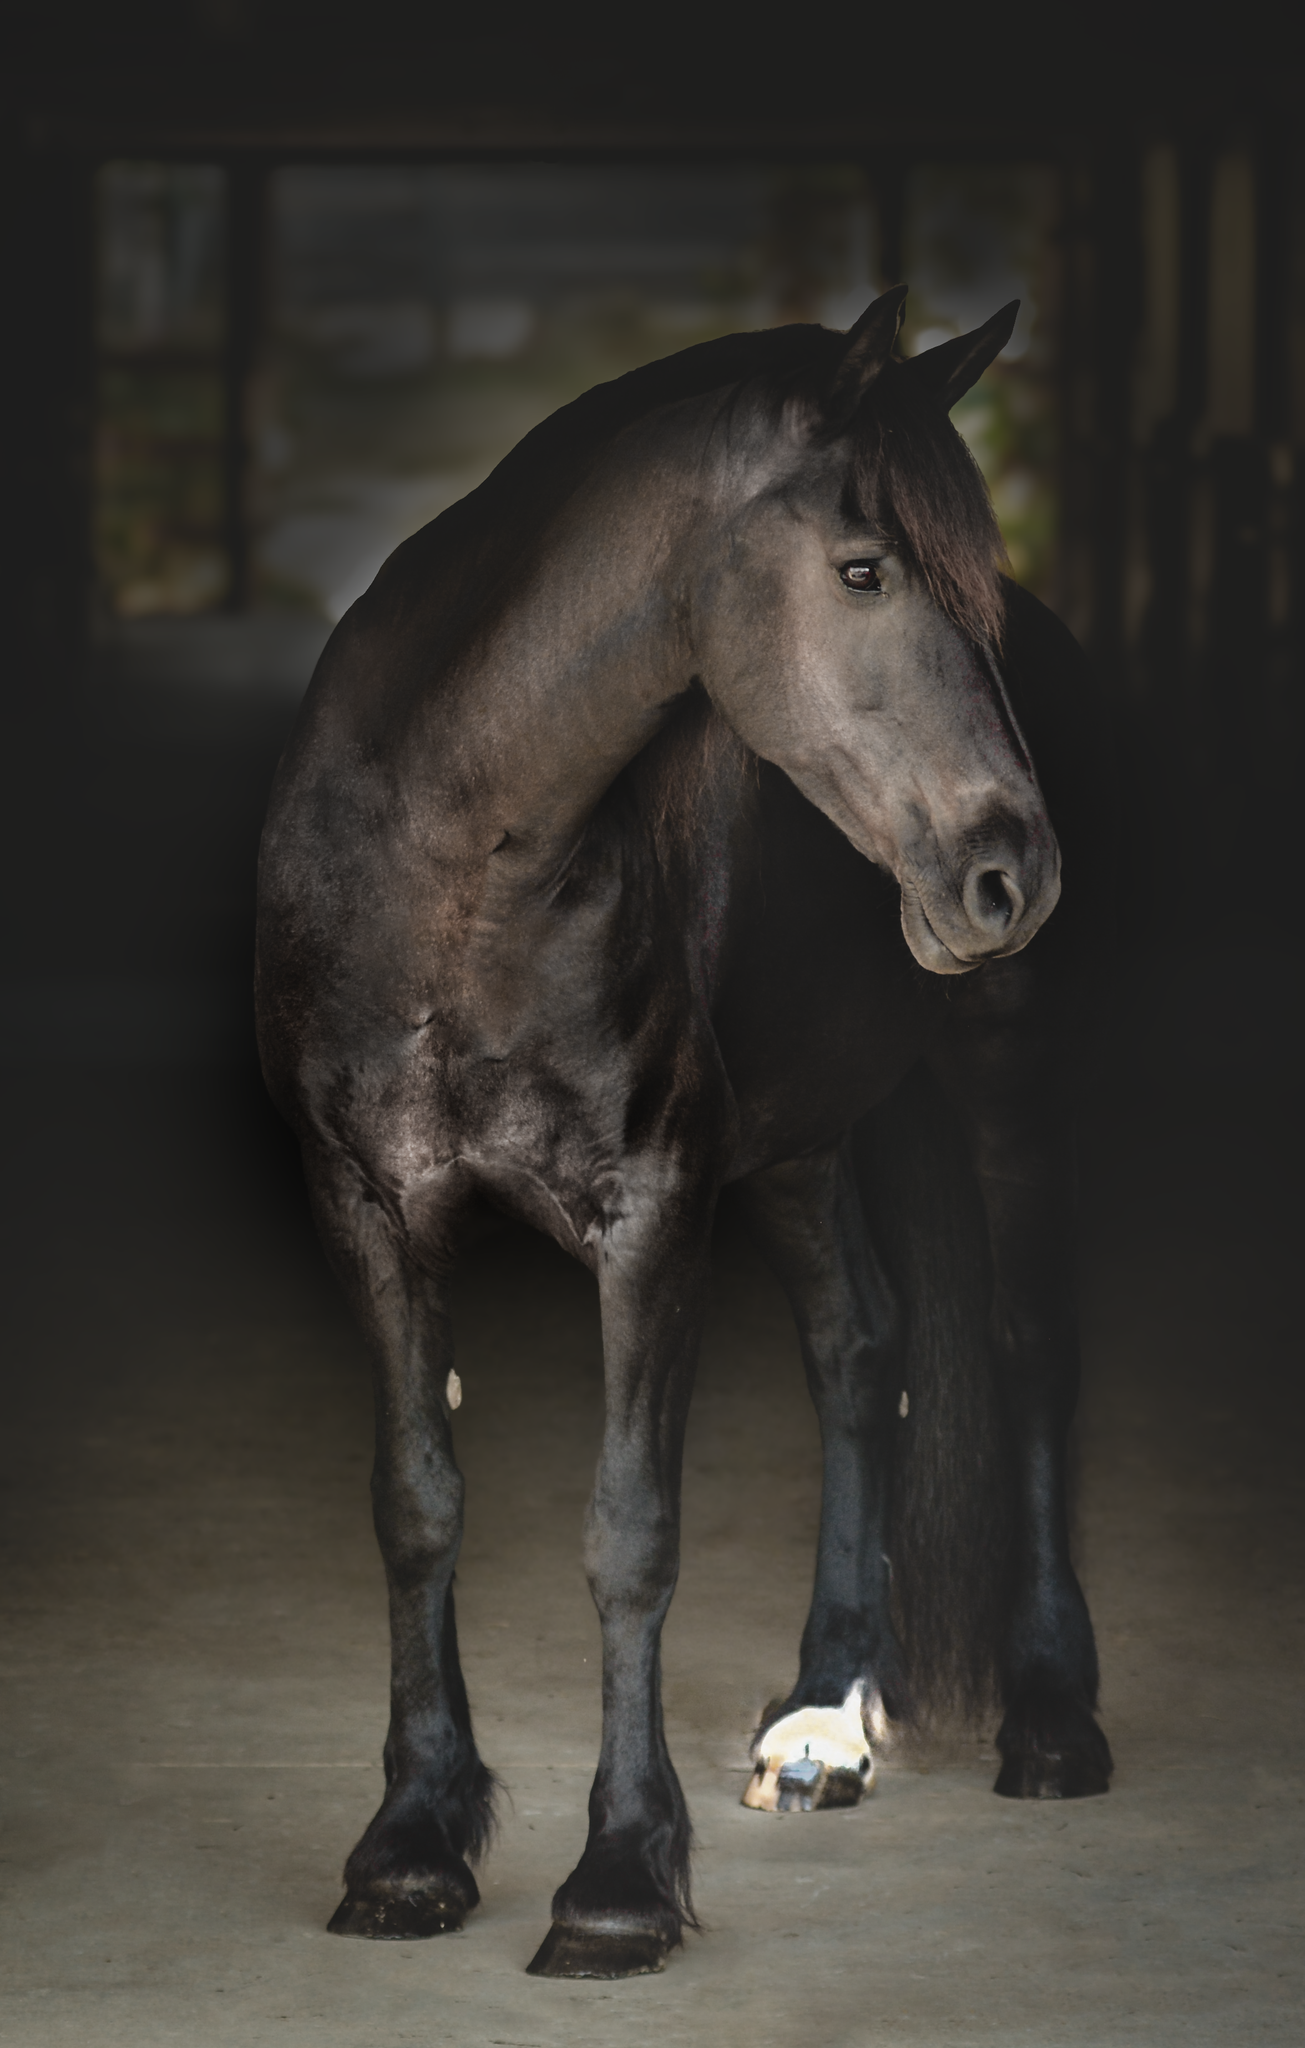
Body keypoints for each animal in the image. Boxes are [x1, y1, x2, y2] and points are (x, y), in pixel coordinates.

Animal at [254, 285, 1114, 1981]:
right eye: (862, 570)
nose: (1011, 872)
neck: (451, 863)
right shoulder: (369, 1206)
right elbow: (416, 1504)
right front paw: (410, 1847)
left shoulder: (647, 1212)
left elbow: (629, 1533)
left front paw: (617, 1885)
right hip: (792, 1144)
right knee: (860, 1349)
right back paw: (823, 1721)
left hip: (999, 1064)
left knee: (1024, 1341)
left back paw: (1051, 1720)